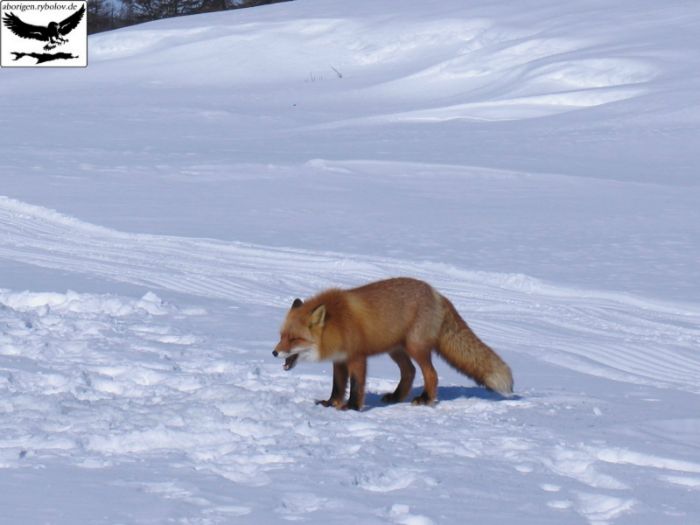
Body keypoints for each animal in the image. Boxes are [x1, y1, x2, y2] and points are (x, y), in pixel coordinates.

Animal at [274, 276, 516, 408]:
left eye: (295, 339)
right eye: (281, 336)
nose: (274, 353)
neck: (337, 323)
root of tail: (437, 294)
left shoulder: (357, 357)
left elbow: (356, 386)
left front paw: (351, 408)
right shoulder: (339, 360)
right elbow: (338, 386)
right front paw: (330, 404)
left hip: (415, 347)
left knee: (431, 374)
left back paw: (425, 399)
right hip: (396, 350)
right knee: (410, 371)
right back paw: (397, 396)